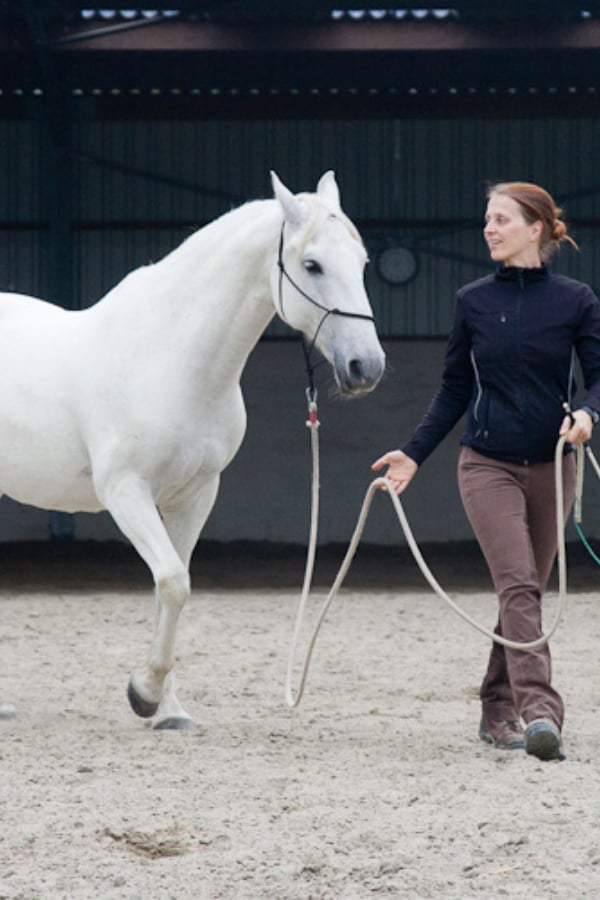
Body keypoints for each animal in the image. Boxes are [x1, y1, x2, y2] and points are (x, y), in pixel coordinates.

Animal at [0, 171, 385, 730]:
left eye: (361, 262)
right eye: (312, 265)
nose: (366, 367)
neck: (171, 355)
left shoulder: (195, 494)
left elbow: (171, 592)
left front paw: (167, 710)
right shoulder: (127, 492)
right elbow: (172, 581)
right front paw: (143, 692)